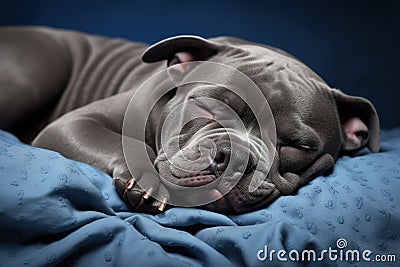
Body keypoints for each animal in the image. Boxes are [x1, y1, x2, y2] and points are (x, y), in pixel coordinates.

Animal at [0, 27, 380, 215]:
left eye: (295, 146)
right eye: (209, 110)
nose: (234, 157)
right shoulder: (76, 123)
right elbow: (121, 144)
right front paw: (151, 183)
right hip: (36, 73)